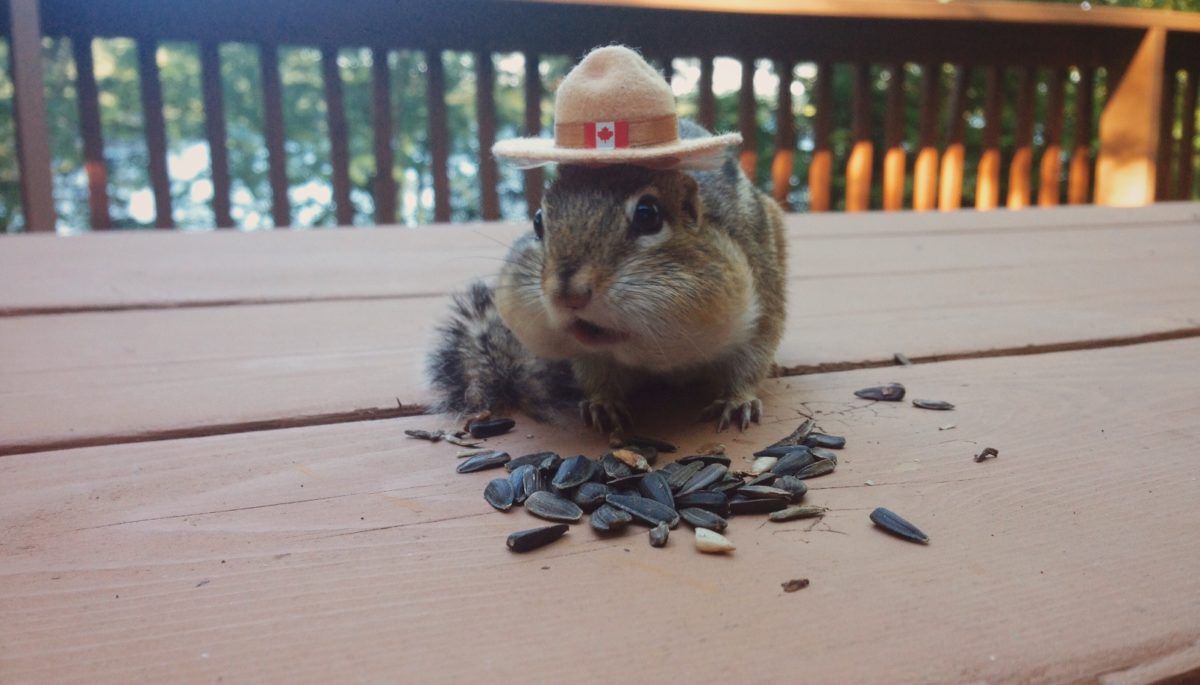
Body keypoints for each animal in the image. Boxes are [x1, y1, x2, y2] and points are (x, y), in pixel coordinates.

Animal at [427, 119, 787, 433]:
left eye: (648, 214)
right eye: (538, 220)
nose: (568, 296)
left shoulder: (760, 303)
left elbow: (751, 360)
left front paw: (737, 401)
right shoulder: (587, 356)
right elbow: (596, 373)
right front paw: (602, 404)